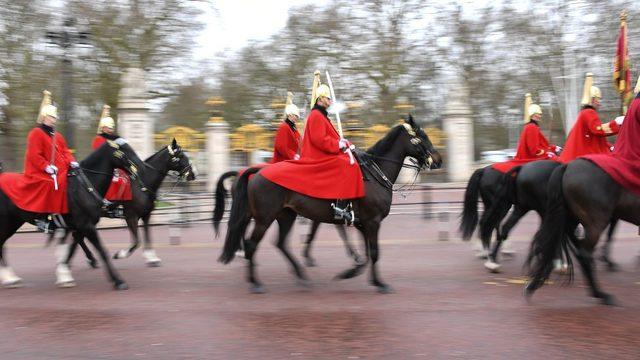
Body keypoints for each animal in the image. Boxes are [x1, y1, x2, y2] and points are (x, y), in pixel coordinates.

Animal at [0, 139, 141, 288]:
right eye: (125, 150)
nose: (140, 167)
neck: (85, 187)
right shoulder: (86, 226)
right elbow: (101, 250)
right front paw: (118, 281)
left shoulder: (80, 227)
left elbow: (70, 249)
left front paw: (64, 275)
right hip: (6, 223)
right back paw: (10, 279)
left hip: (13, 222)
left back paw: (11, 277)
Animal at [65, 139, 196, 268]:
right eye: (181, 156)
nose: (193, 174)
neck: (143, 181)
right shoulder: (131, 216)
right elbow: (136, 242)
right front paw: (120, 254)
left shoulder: (146, 215)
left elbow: (148, 236)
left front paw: (152, 258)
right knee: (77, 236)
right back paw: (86, 259)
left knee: (77, 236)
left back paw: (89, 259)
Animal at [214, 170, 360, 266]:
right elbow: (319, 234)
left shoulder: (324, 215)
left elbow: (337, 233)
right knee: (240, 227)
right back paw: (242, 252)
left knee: (240, 227)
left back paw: (240, 252)